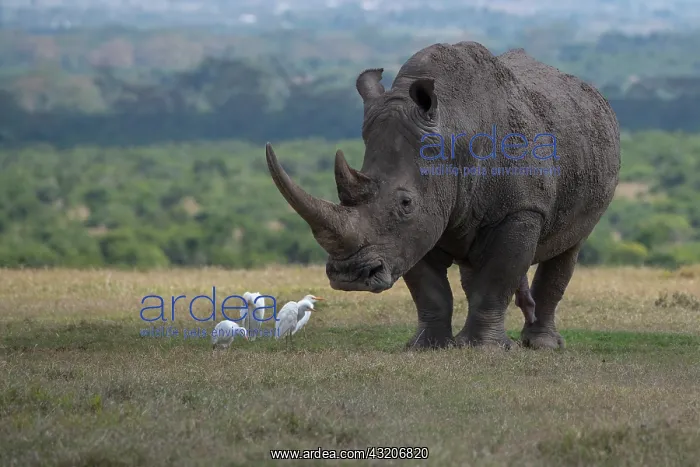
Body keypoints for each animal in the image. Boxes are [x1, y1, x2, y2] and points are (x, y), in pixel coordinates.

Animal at [265, 41, 620, 350]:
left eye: (405, 203)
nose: (349, 276)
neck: (453, 130)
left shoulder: (521, 210)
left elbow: (497, 277)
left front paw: (484, 350)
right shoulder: (419, 226)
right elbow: (430, 288)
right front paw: (427, 347)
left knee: (568, 249)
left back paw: (543, 345)